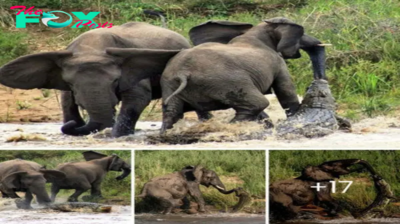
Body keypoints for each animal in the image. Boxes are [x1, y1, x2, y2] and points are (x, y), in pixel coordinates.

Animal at [0, 20, 212, 136]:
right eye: (70, 83)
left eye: (115, 81)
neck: (91, 49)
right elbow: (67, 102)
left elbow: (137, 98)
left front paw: (116, 136)